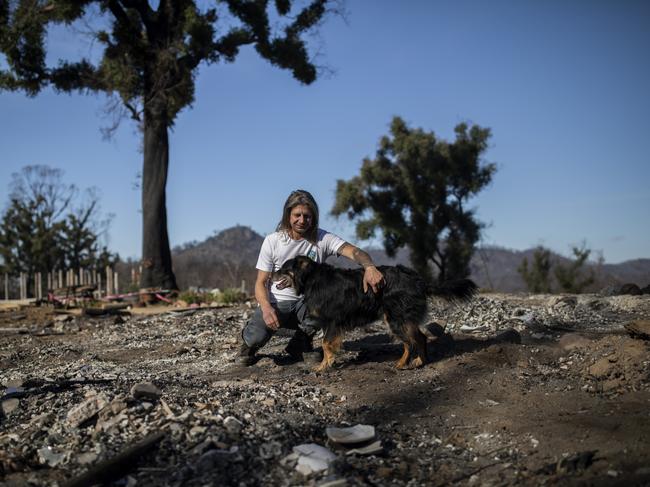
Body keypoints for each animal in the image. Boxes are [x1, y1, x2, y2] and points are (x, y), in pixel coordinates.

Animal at [270, 258, 474, 372]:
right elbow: (327, 344)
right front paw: (326, 363)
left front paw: (323, 367)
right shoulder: (329, 323)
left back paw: (403, 364)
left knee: (410, 342)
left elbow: (326, 344)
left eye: (284, 268)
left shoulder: (334, 321)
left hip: (395, 319)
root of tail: (419, 281)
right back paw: (419, 361)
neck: (312, 279)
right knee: (420, 338)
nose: (271, 275)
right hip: (403, 318)